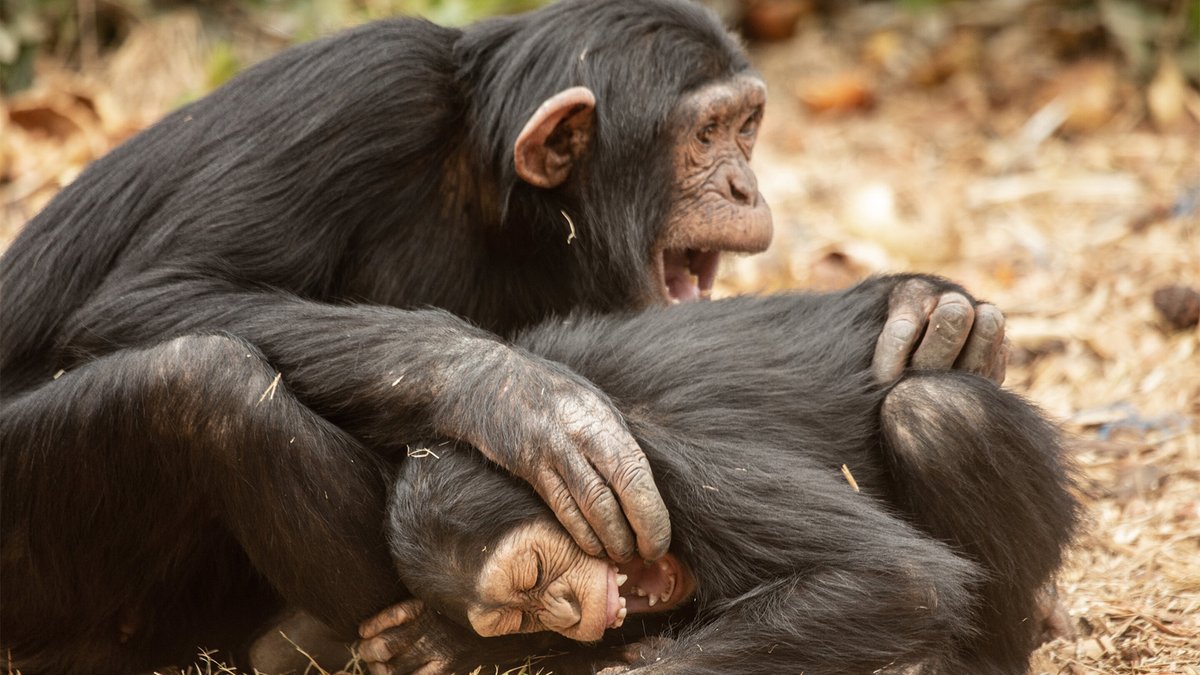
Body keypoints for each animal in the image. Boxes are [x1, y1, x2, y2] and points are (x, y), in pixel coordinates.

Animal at [360, 275, 1084, 672]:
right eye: (519, 617)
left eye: (533, 574)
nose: (564, 612)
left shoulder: (661, 463)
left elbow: (899, 579)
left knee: (936, 414)